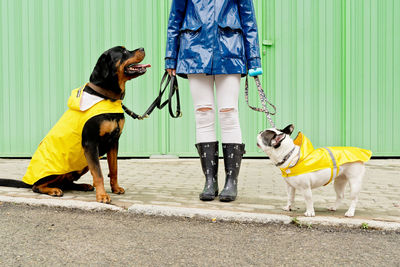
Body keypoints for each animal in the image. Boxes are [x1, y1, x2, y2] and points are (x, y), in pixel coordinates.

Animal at [0, 46, 150, 205]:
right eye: (123, 52)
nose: (142, 48)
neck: (107, 97)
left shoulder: (114, 142)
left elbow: (114, 169)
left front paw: (115, 188)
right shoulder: (91, 143)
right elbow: (98, 173)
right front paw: (102, 196)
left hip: (81, 165)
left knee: (67, 183)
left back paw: (82, 186)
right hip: (58, 169)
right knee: (37, 186)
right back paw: (53, 190)